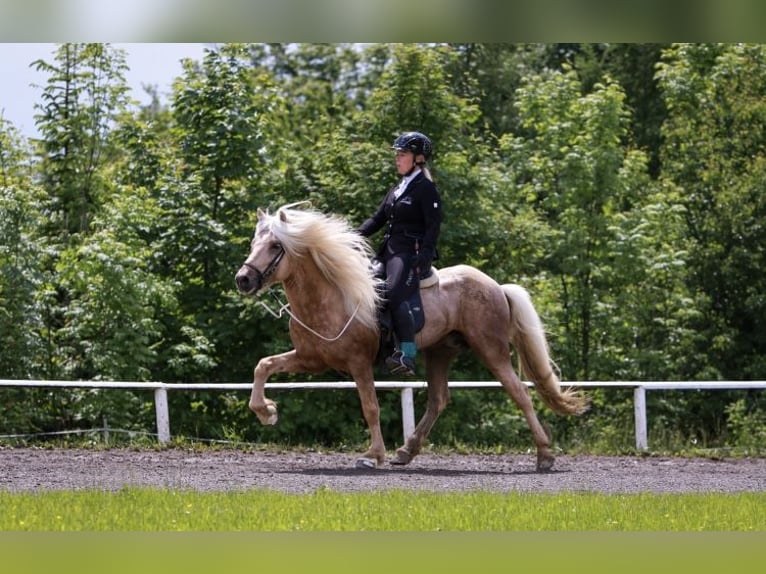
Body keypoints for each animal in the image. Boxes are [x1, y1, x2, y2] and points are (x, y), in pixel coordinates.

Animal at [237, 205, 592, 474]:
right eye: (254, 242)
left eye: (275, 246)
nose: (243, 279)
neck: (332, 294)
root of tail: (496, 286)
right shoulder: (310, 359)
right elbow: (263, 366)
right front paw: (267, 411)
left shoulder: (358, 363)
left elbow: (370, 407)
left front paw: (373, 456)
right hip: (440, 352)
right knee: (439, 399)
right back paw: (406, 451)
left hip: (491, 350)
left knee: (520, 393)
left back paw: (545, 455)